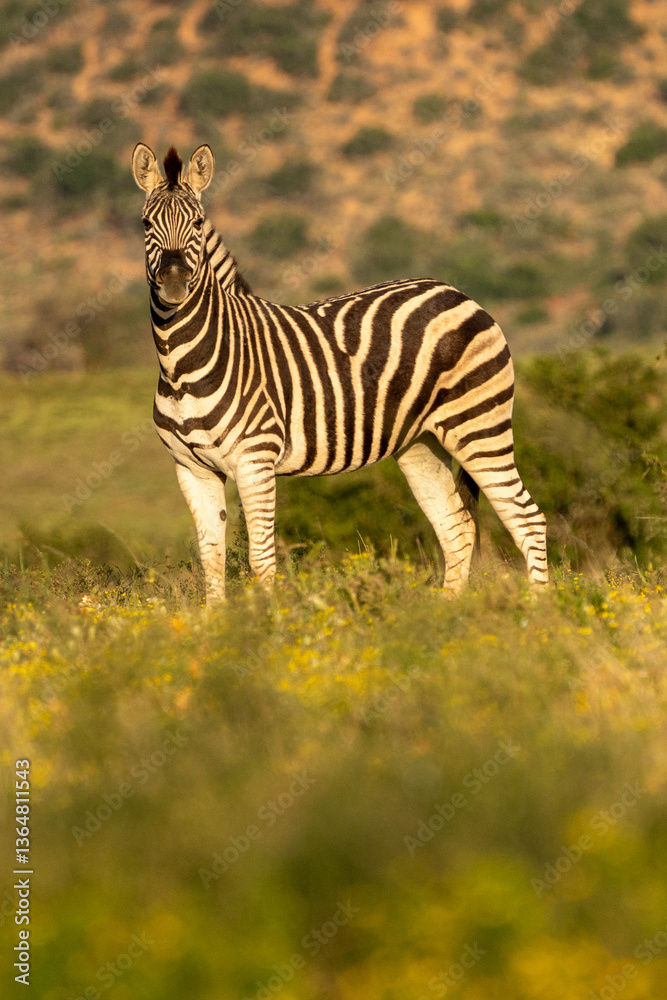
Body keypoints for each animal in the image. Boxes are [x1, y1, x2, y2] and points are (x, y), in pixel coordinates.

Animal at [132, 142, 548, 604]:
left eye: (198, 223)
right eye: (146, 223)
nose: (173, 285)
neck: (183, 366)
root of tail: (457, 293)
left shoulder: (254, 460)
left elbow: (261, 559)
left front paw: (265, 620)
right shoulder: (192, 468)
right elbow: (211, 558)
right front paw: (216, 622)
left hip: (480, 426)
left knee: (528, 519)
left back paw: (539, 612)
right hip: (420, 443)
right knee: (456, 526)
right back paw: (448, 611)